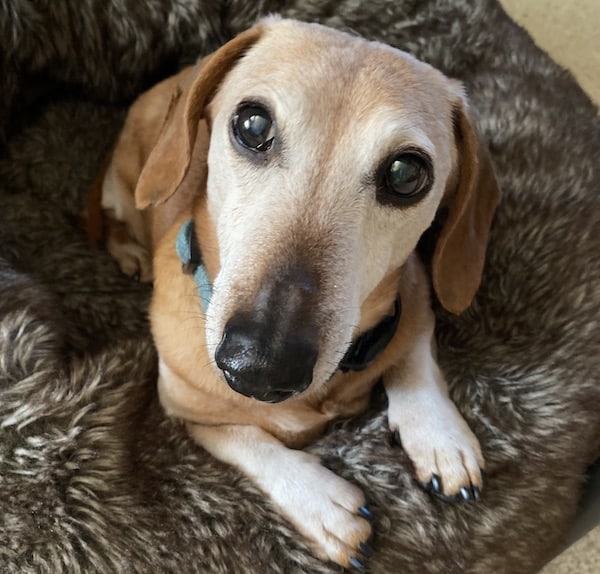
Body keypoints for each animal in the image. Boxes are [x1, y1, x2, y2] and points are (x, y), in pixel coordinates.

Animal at [86, 16, 500, 572]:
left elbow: (413, 355)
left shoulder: (414, 296)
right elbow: (247, 440)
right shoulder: (186, 411)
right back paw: (131, 252)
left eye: (406, 173)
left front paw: (439, 435)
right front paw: (321, 502)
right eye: (253, 125)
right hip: (130, 184)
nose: (261, 366)